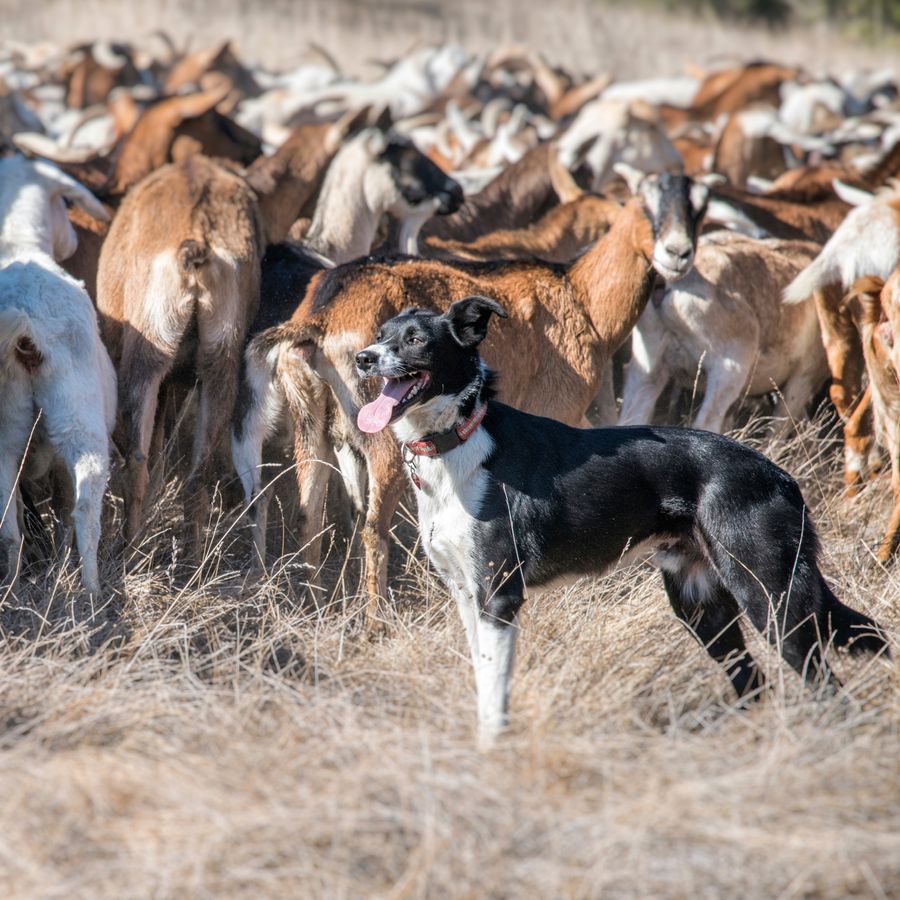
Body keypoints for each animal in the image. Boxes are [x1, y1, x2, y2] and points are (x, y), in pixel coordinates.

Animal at [0, 156, 116, 596]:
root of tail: (25, 331)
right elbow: (67, 506)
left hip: (6, 429)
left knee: (7, 524)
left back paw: (13, 587)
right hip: (80, 423)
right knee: (84, 508)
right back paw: (92, 591)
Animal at [354, 296, 884, 744]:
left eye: (416, 339)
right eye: (381, 335)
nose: (362, 358)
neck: (458, 441)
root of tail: (780, 476)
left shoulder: (499, 598)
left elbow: (496, 693)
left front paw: (492, 752)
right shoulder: (467, 597)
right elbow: (484, 682)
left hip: (770, 596)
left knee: (826, 684)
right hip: (701, 606)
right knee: (753, 682)